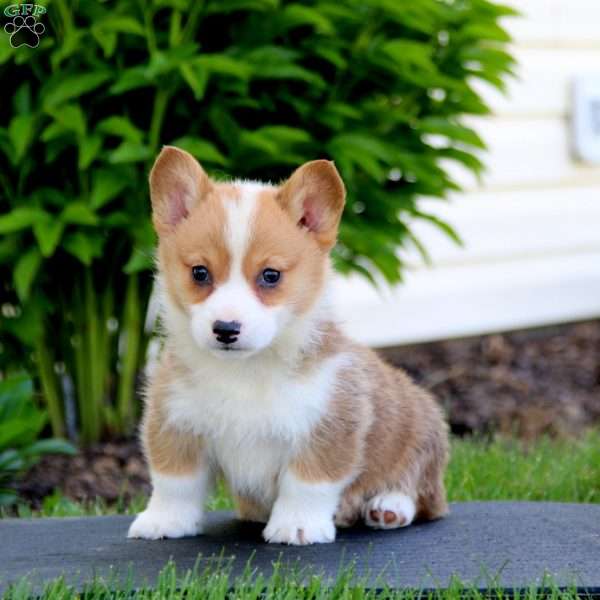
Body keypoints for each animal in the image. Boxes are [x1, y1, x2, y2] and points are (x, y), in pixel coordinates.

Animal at [129, 148, 448, 548]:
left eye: (271, 275)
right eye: (200, 273)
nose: (226, 329)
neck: (244, 371)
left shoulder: (325, 428)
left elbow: (307, 483)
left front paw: (297, 527)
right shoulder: (175, 423)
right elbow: (174, 482)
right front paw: (163, 521)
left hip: (422, 434)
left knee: (422, 493)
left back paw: (388, 507)